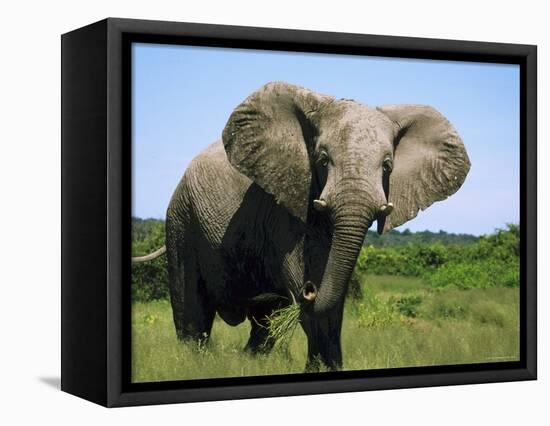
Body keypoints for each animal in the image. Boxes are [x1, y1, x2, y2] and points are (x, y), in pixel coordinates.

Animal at [133, 81, 470, 372]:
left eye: (387, 166)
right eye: (322, 159)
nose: (311, 288)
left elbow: (334, 301)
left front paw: (331, 368)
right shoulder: (284, 207)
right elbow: (303, 286)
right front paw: (319, 366)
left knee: (263, 321)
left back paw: (249, 361)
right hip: (181, 218)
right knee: (191, 307)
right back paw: (194, 364)